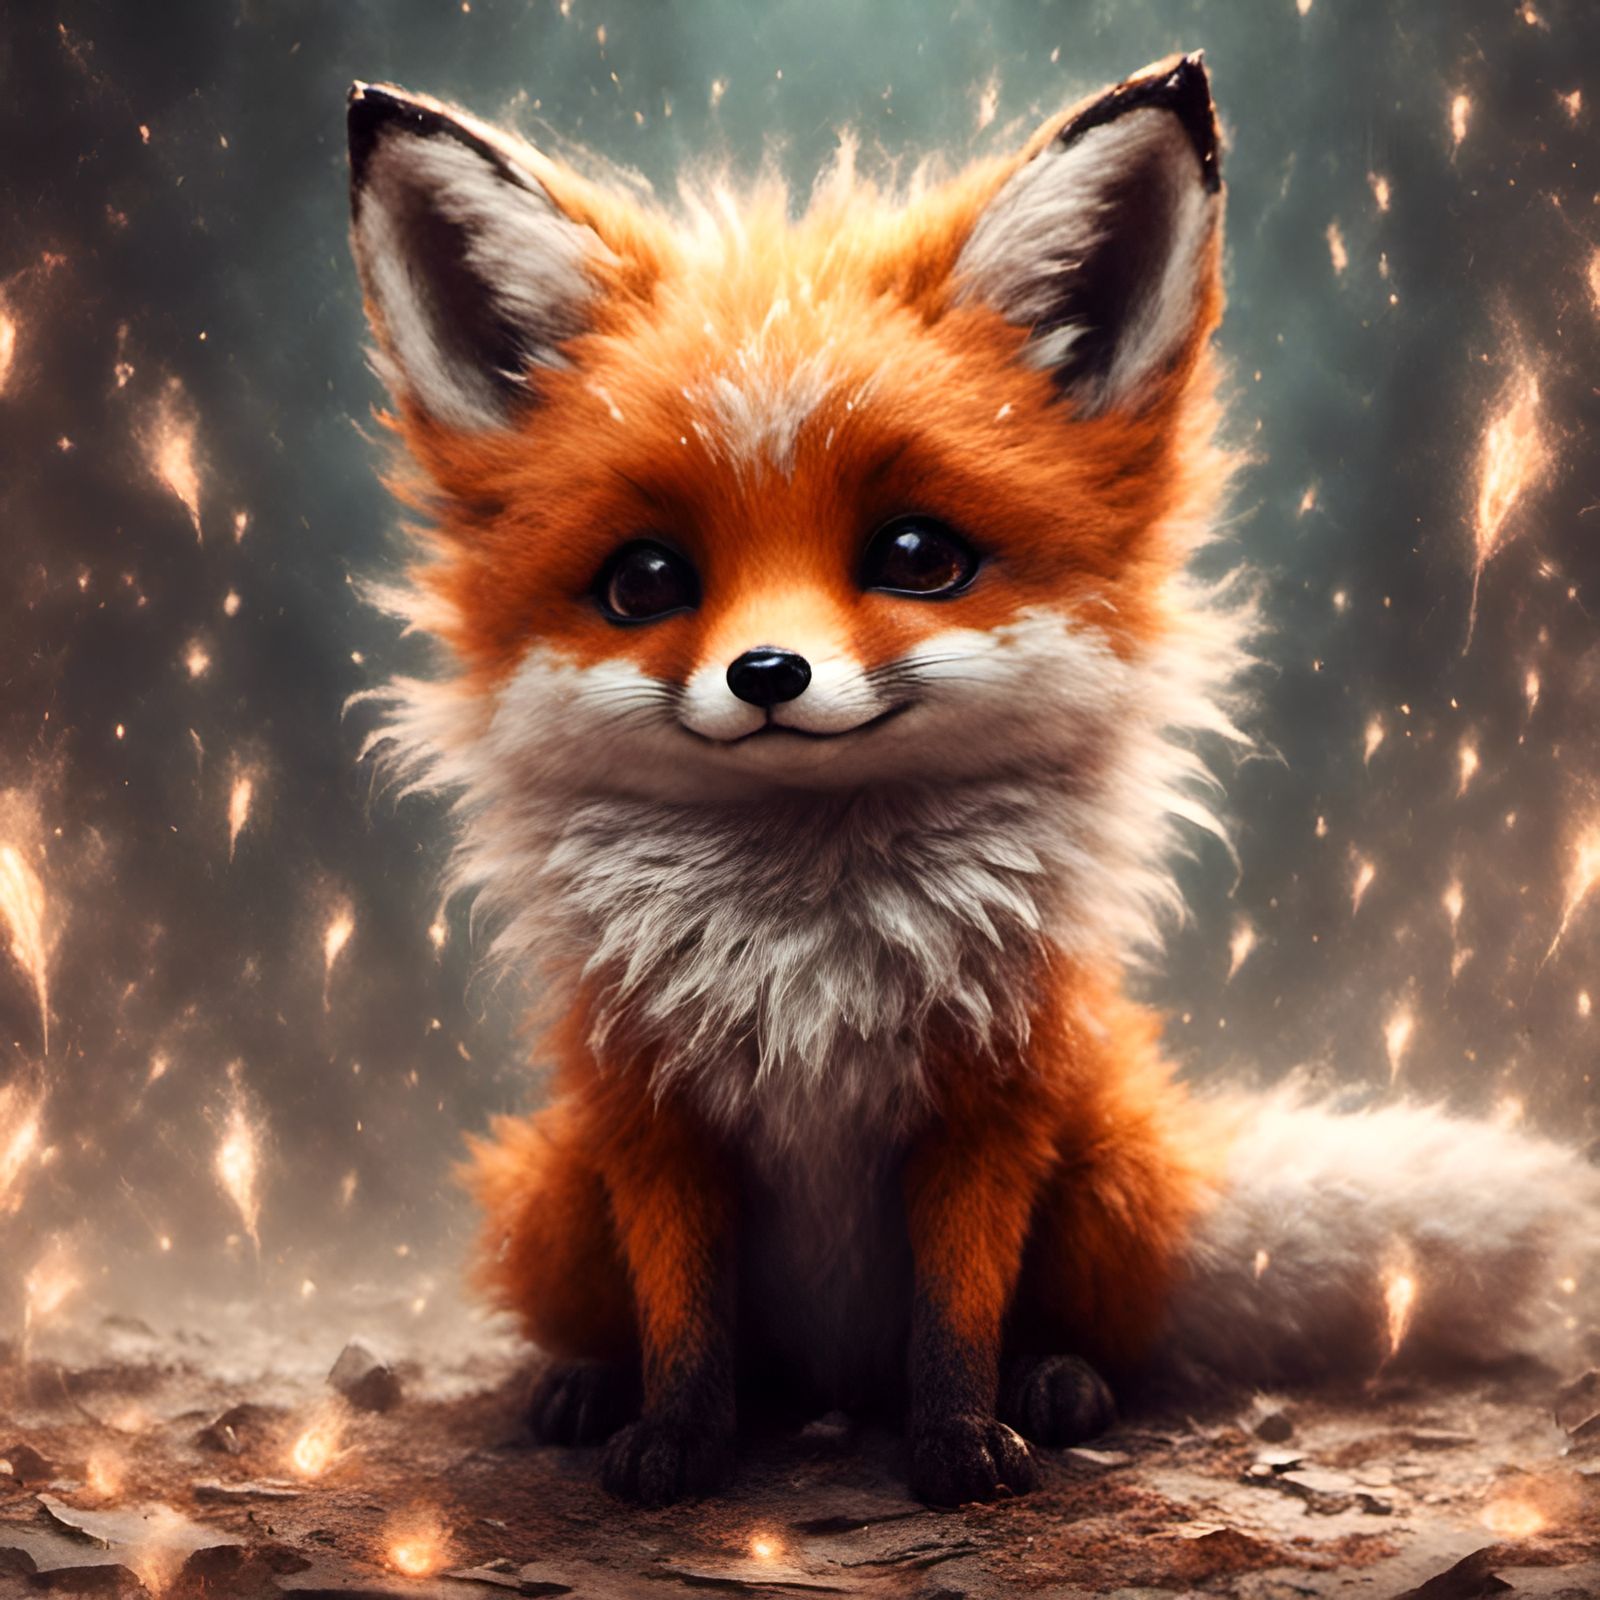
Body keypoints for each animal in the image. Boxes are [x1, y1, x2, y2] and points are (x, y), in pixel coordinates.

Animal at [343, 54, 1600, 1508]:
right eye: (645, 581)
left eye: (917, 556)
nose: (766, 673)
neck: (810, 961)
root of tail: (830, 1385)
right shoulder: (649, 1115)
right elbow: (685, 1318)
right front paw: (673, 1439)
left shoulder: (990, 1106)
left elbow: (958, 1313)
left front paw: (957, 1443)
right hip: (550, 1192)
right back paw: (587, 1385)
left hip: (1106, 1174)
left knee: (1098, 1328)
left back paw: (1059, 1383)